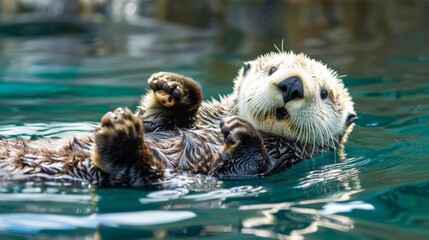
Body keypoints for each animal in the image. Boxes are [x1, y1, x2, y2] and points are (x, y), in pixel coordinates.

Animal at [0, 52, 356, 188]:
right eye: (272, 69)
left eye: (325, 93)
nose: (292, 84)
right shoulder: (171, 123)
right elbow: (155, 118)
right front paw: (174, 88)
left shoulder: (282, 158)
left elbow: (246, 165)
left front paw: (240, 133)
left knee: (134, 170)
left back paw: (121, 136)